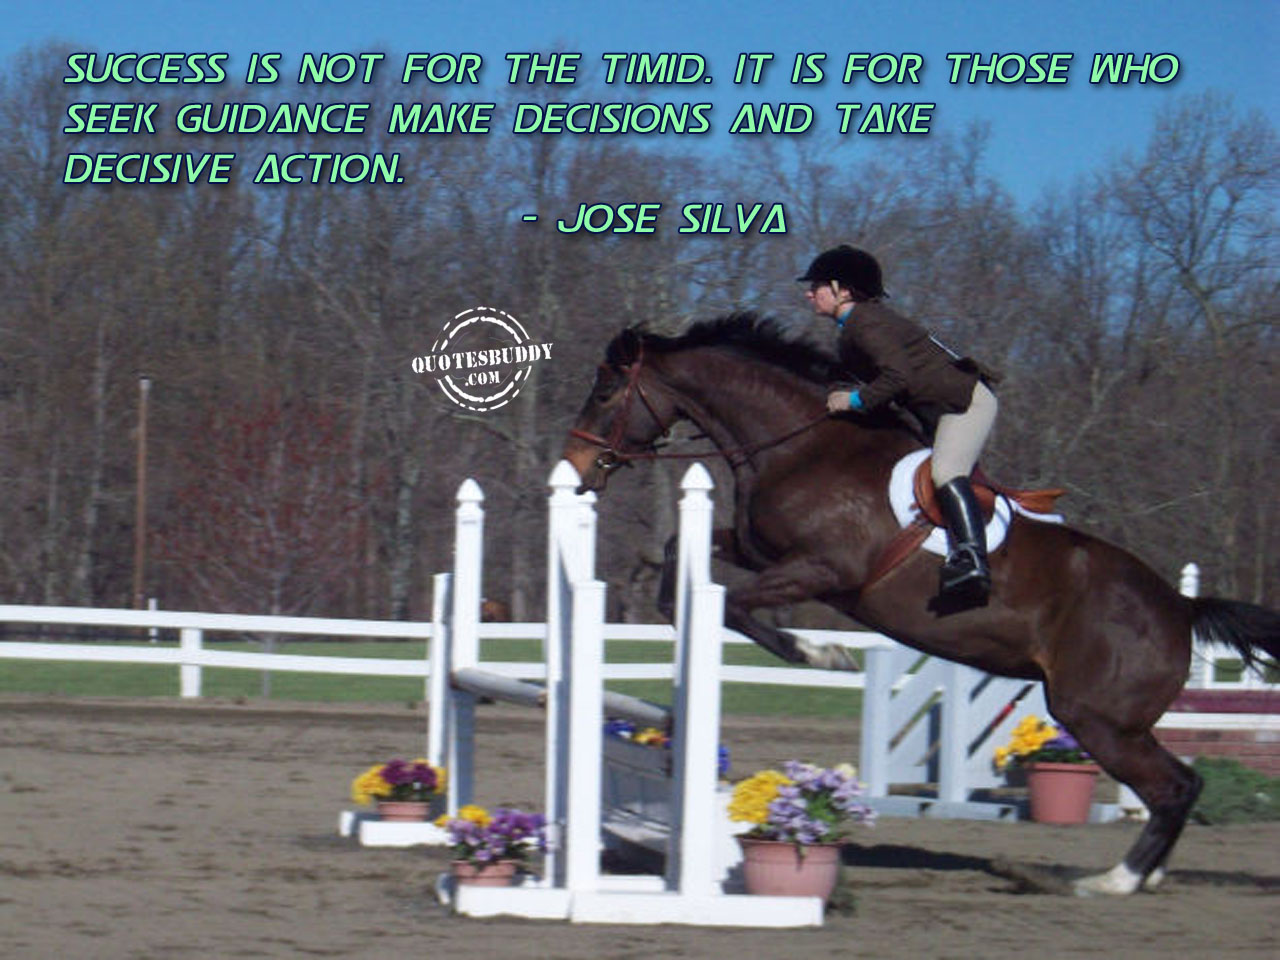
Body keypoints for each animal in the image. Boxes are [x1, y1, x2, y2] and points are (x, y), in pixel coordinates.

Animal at [561, 313, 1280, 897]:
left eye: (604, 393)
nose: (576, 470)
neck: (799, 444)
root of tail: (1179, 607)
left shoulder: (821, 571)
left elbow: (738, 608)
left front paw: (823, 654)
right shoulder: (760, 550)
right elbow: (682, 557)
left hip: (1097, 717)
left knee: (1175, 787)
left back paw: (1113, 881)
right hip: (1111, 720)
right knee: (1174, 789)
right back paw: (1144, 874)